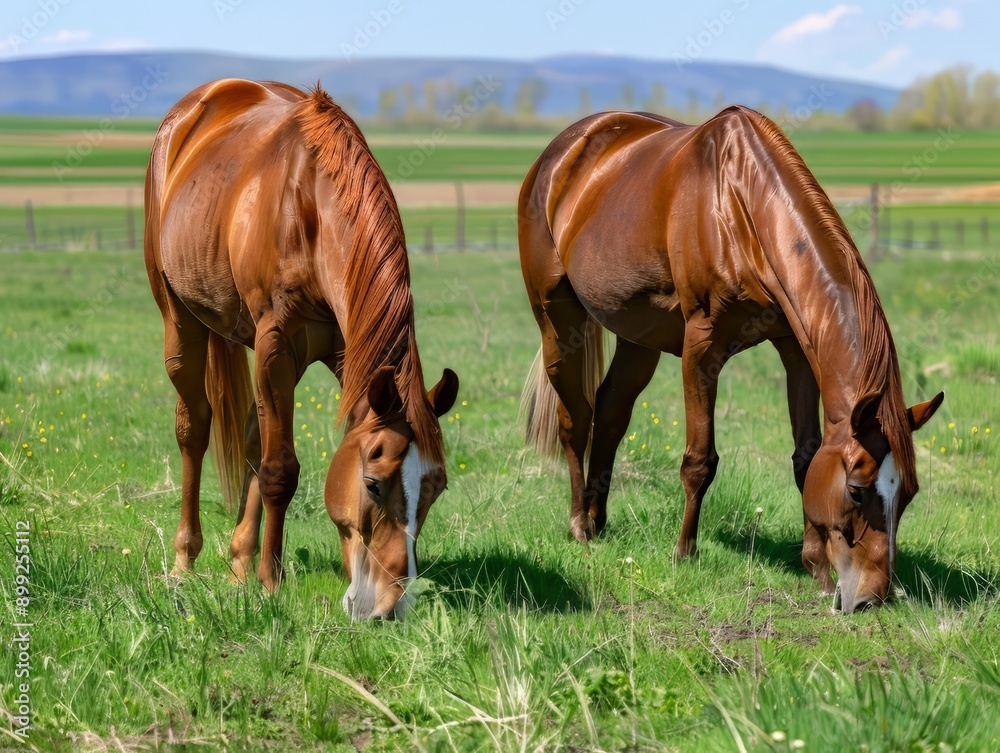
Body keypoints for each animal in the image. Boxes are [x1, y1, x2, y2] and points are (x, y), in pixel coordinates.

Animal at [144, 79, 459, 620]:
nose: (390, 606)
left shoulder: (343, 353)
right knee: (194, 428)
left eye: (435, 487)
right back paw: (186, 561)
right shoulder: (275, 345)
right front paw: (271, 582)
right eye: (373, 483)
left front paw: (252, 571)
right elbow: (280, 469)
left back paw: (239, 562)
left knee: (252, 438)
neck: (310, 208)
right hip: (179, 320)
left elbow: (265, 453)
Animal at [519, 106, 943, 614]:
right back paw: (580, 525)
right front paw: (684, 552)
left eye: (909, 494)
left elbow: (805, 458)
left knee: (612, 412)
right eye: (857, 492)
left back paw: (599, 520)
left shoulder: (797, 351)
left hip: (637, 336)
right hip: (557, 323)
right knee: (575, 419)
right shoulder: (702, 348)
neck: (740, 205)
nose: (871, 598)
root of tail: (560, 152)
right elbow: (699, 460)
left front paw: (815, 565)